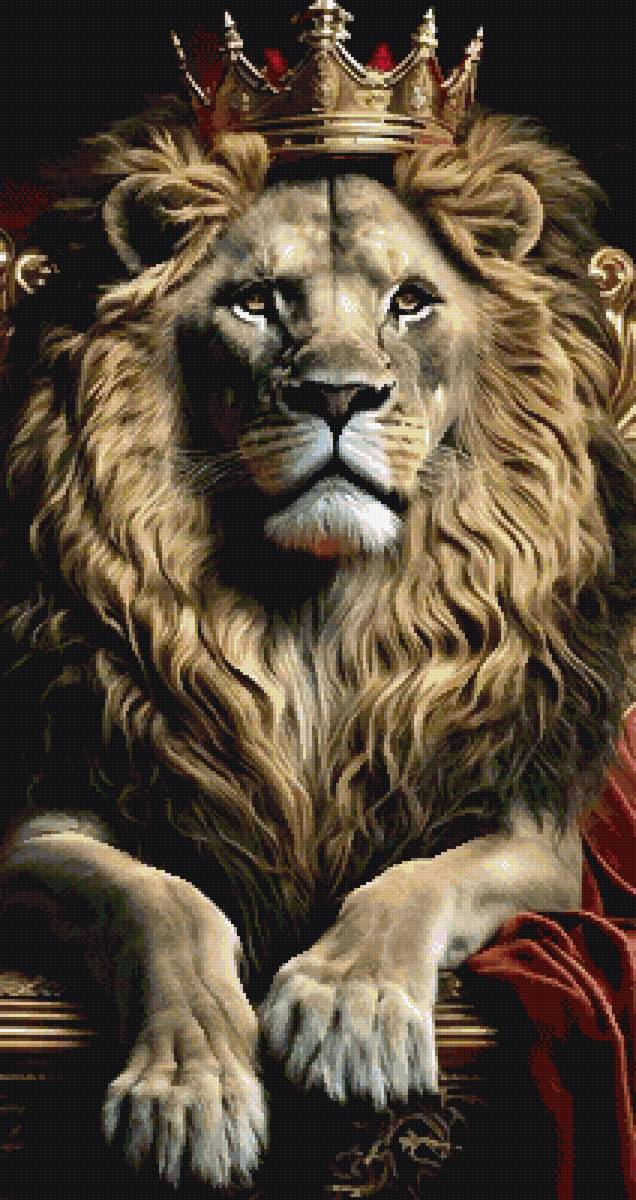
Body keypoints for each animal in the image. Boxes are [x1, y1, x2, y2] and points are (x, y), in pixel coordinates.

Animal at [0, 91, 634, 1189]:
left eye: (411, 302)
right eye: (257, 302)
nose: (338, 396)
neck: (314, 623)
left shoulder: (540, 835)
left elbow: (415, 879)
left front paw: (351, 1010)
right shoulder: (41, 824)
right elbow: (165, 899)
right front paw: (190, 1091)